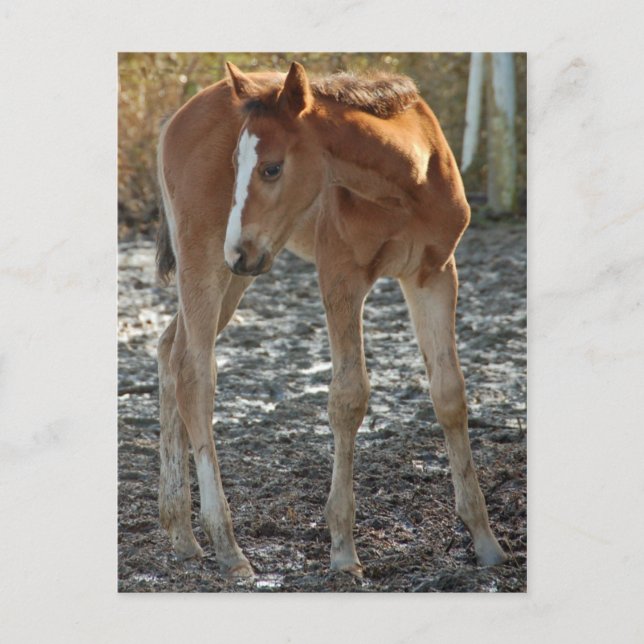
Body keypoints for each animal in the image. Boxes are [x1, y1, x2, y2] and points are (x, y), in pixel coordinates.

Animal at [155, 61, 507, 579]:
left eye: (272, 167)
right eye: (236, 165)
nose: (238, 249)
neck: (407, 185)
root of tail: (175, 119)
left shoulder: (435, 274)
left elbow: (450, 395)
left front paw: (485, 541)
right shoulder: (340, 274)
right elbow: (348, 398)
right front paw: (342, 548)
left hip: (240, 273)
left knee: (168, 350)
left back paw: (180, 532)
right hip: (209, 259)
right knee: (194, 375)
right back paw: (227, 546)